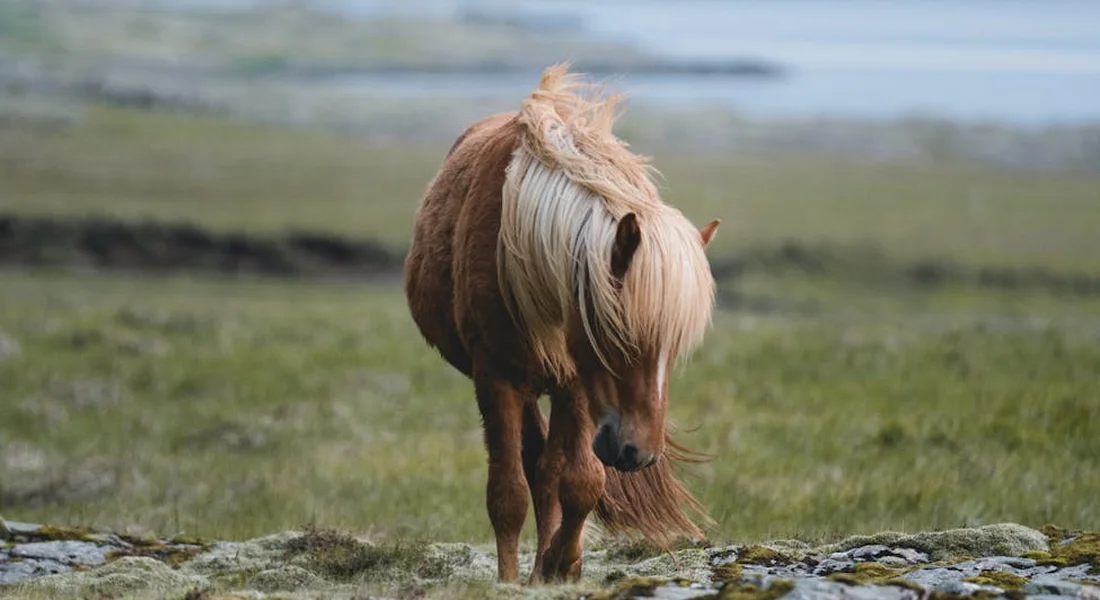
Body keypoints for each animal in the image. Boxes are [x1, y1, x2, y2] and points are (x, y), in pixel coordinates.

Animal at [403, 63, 721, 584]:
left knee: (550, 469)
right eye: (620, 337)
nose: (639, 453)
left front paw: (561, 563)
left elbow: (580, 481)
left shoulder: (575, 384)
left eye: (675, 348)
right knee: (534, 466)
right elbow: (508, 493)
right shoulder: (496, 378)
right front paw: (511, 580)